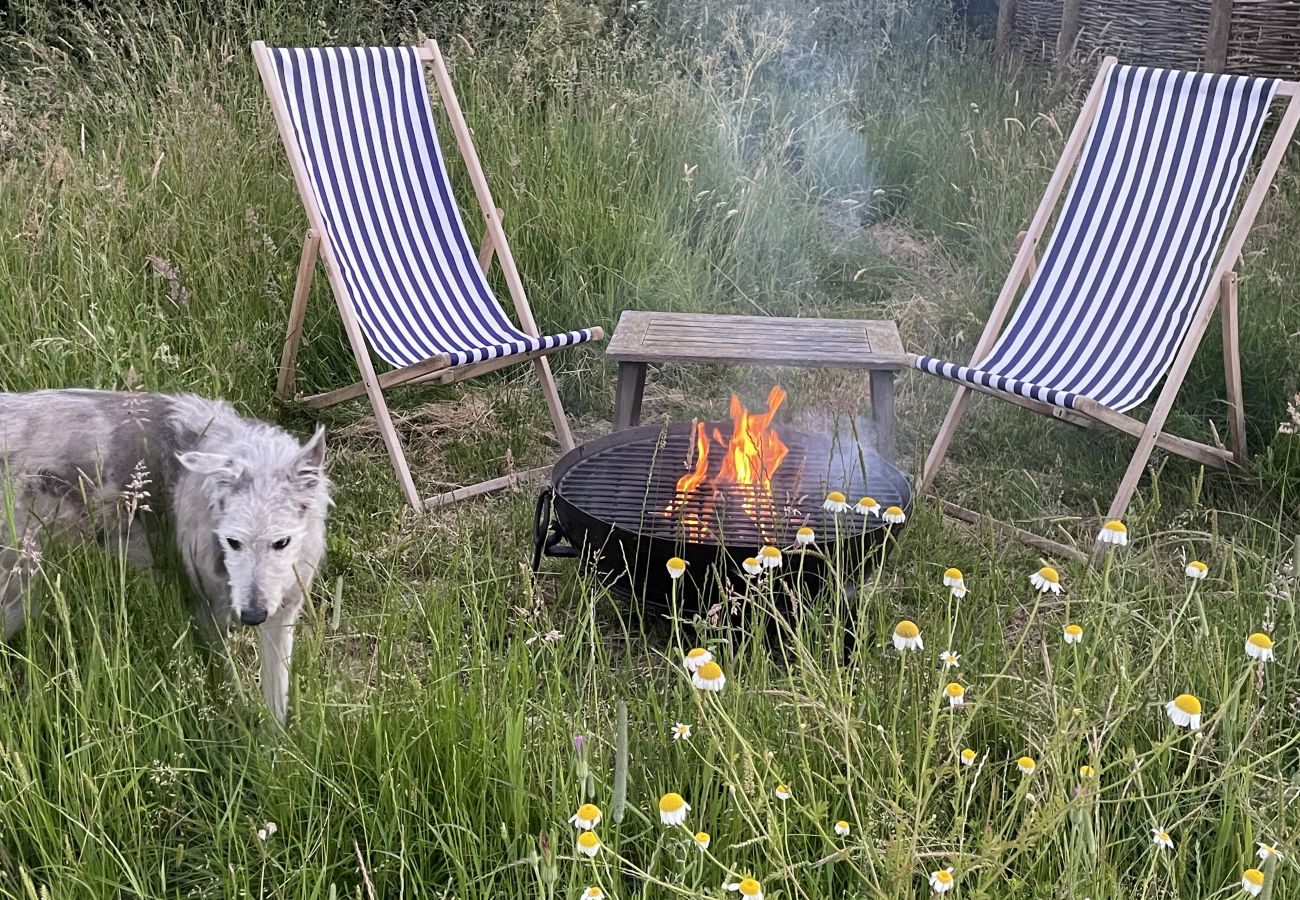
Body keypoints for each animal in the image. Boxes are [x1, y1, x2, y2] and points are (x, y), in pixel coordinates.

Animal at [1, 387, 325, 723]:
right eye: (233, 542)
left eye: (282, 542)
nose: (252, 617)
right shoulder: (207, 611)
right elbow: (229, 683)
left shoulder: (282, 616)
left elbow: (277, 700)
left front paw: (273, 737)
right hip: (16, 594)